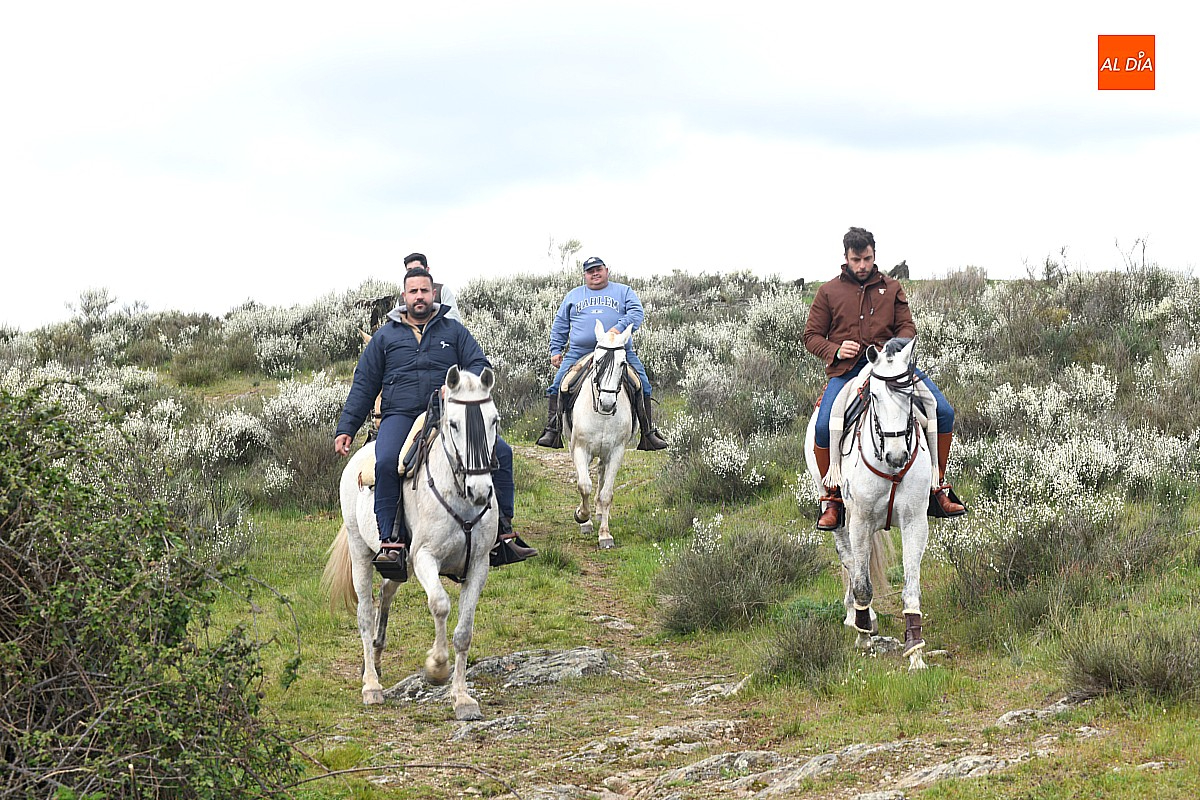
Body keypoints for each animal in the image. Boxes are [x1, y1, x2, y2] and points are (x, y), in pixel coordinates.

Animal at [322, 365, 500, 718]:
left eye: (494, 420)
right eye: (454, 423)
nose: (480, 491)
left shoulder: (479, 565)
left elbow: (464, 631)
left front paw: (462, 698)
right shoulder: (425, 559)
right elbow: (440, 604)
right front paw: (436, 668)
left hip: (398, 565)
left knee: (385, 592)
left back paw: (377, 657)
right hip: (361, 553)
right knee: (365, 612)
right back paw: (371, 685)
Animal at [564, 320, 638, 549]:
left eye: (622, 363)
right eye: (598, 361)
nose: (607, 403)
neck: (602, 415)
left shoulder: (616, 452)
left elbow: (606, 493)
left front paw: (605, 535)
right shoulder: (580, 449)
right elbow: (584, 485)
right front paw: (581, 516)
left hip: (605, 452)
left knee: (601, 473)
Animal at [803, 338, 939, 670]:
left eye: (910, 394)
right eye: (874, 395)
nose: (897, 455)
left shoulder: (915, 522)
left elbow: (911, 588)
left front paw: (915, 651)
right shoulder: (861, 523)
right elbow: (862, 584)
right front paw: (864, 634)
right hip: (839, 518)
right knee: (850, 562)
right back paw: (858, 616)